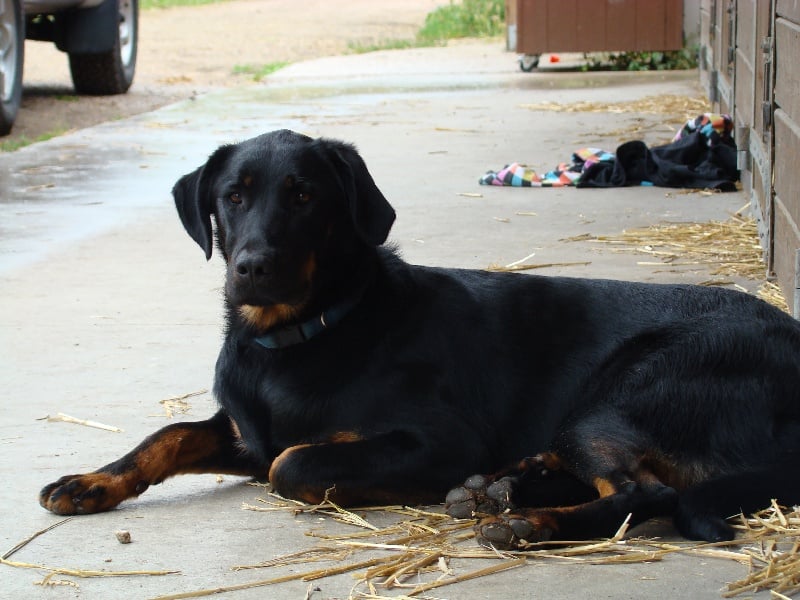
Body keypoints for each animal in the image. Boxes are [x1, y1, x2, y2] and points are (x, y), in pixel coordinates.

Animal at [40, 130, 800, 548]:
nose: (252, 267)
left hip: (624, 389)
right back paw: (507, 487)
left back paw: (527, 521)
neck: (300, 336)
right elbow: (167, 437)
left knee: (648, 492)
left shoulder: (435, 440)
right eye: (233, 194)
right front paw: (89, 482)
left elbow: (292, 463)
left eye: (305, 195)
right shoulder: (244, 430)